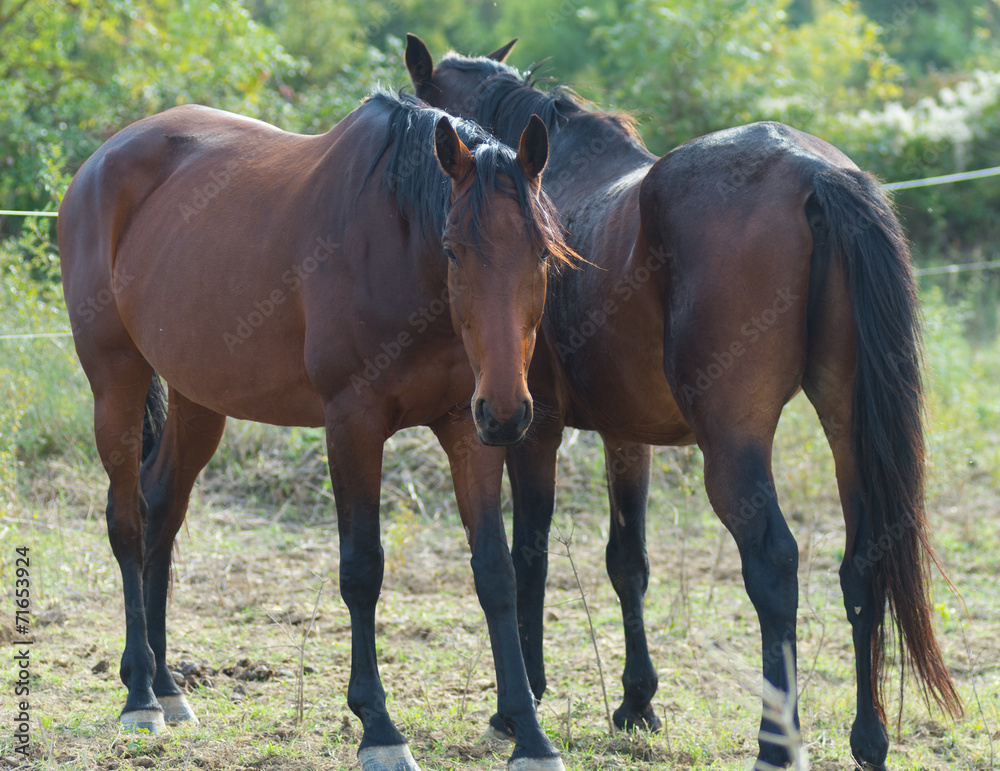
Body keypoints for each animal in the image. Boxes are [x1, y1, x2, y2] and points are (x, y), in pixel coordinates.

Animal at [58, 89, 575, 771]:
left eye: (541, 252)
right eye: (453, 249)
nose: (510, 412)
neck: (399, 248)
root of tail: (99, 163)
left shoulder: (469, 428)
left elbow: (496, 572)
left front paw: (530, 734)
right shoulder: (352, 424)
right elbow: (362, 570)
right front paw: (379, 727)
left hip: (199, 401)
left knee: (160, 513)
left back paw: (167, 687)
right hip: (115, 382)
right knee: (127, 523)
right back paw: (140, 696)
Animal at [405, 35, 962, 768]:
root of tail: (814, 171)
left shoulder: (535, 429)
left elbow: (531, 555)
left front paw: (519, 703)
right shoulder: (626, 436)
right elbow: (628, 563)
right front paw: (637, 701)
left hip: (734, 444)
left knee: (774, 563)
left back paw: (775, 743)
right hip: (847, 424)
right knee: (862, 561)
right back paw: (869, 737)